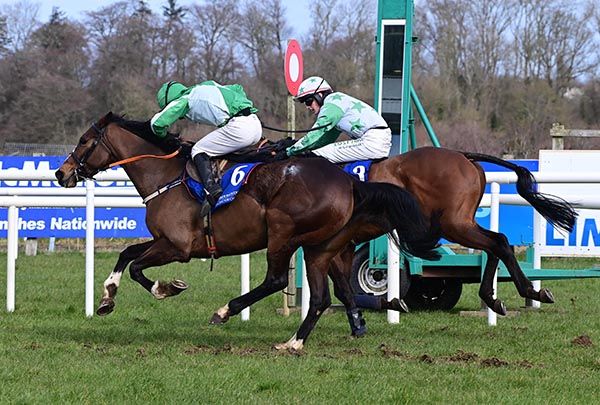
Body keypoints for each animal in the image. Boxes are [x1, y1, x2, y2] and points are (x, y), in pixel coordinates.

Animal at [55, 112, 440, 348]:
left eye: (85, 140)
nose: (61, 173)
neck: (166, 178)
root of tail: (349, 181)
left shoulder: (178, 247)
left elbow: (137, 267)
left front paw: (167, 289)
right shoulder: (162, 240)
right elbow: (126, 254)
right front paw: (106, 298)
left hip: (283, 234)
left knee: (277, 280)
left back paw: (227, 310)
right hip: (321, 247)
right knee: (323, 295)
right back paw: (296, 341)